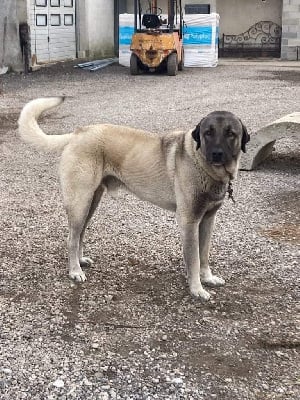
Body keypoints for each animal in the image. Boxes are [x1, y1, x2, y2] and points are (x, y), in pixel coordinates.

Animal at [17, 97, 250, 300]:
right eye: (207, 133)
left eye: (231, 133)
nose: (217, 154)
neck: (203, 165)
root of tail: (78, 132)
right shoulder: (189, 221)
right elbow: (193, 259)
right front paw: (197, 289)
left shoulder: (208, 220)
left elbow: (204, 254)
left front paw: (207, 277)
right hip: (80, 202)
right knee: (71, 238)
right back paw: (74, 270)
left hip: (91, 202)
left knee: (80, 234)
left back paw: (80, 261)